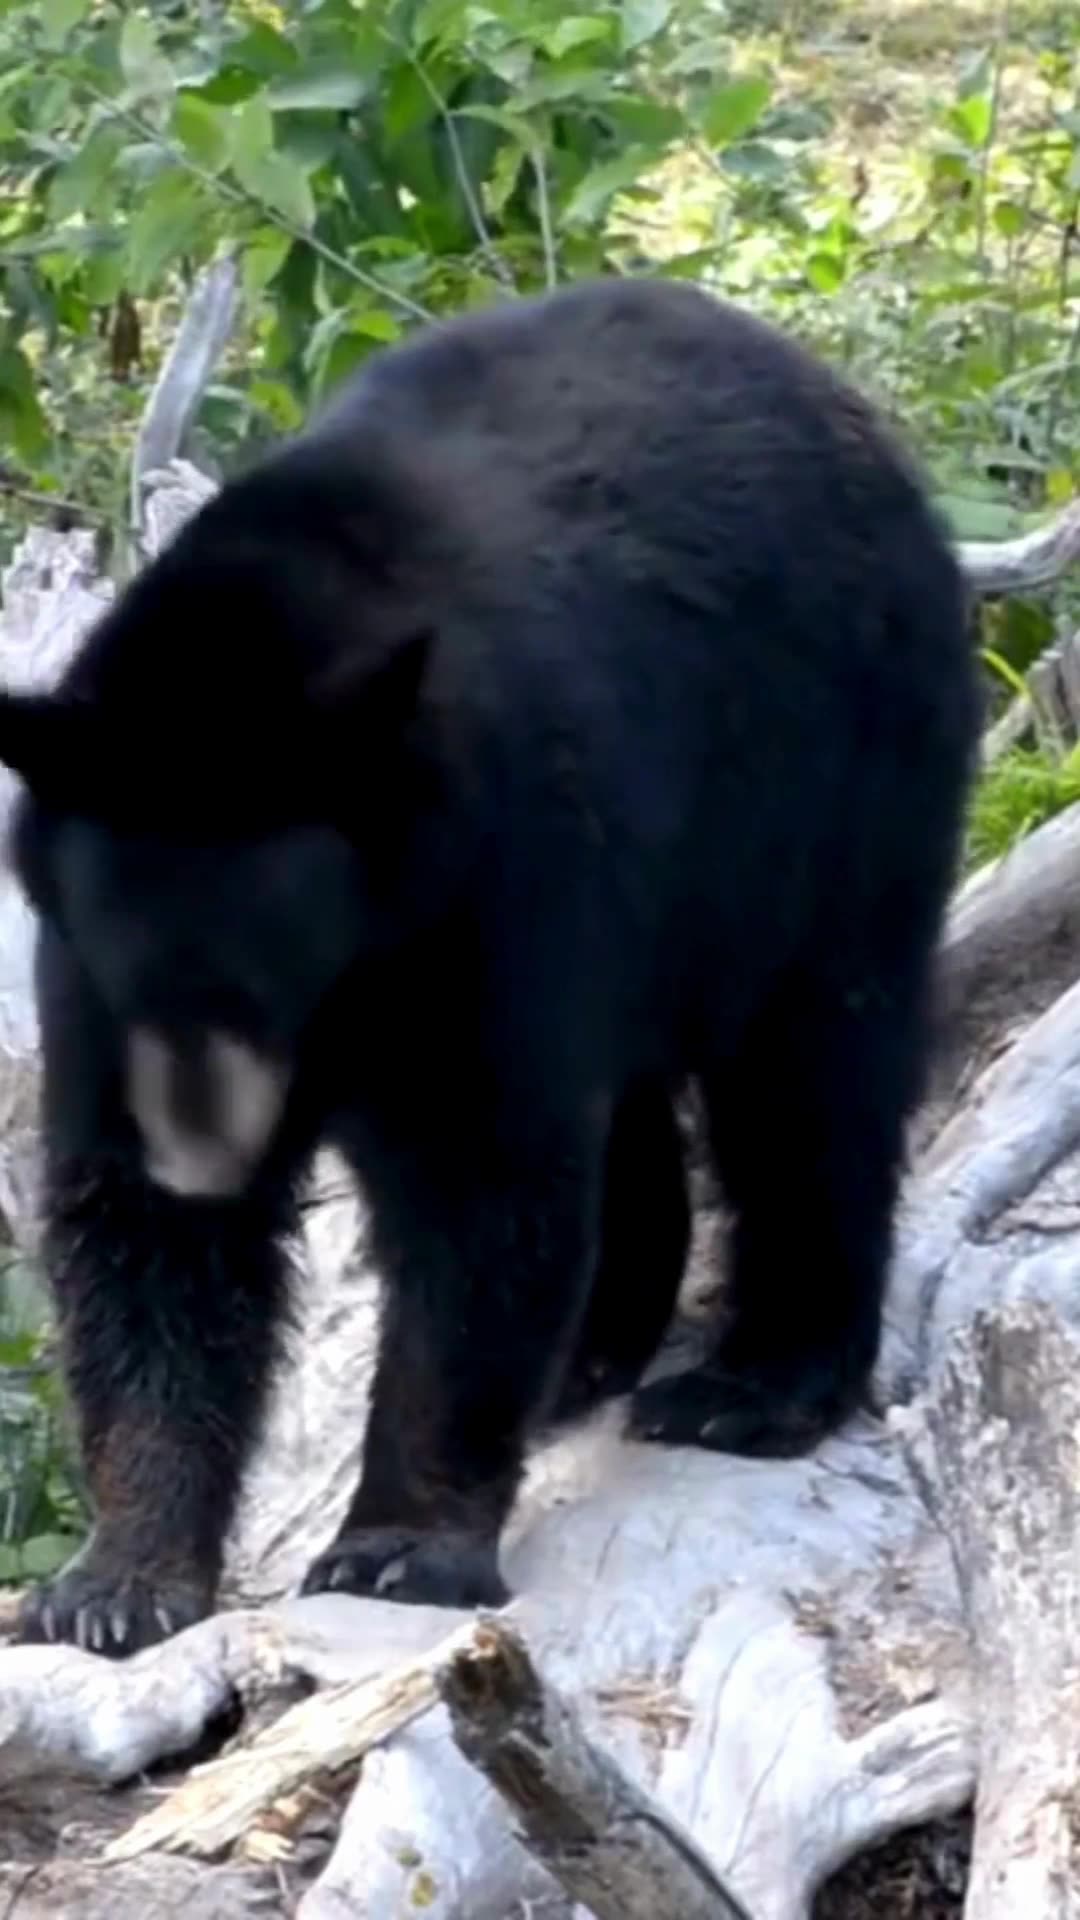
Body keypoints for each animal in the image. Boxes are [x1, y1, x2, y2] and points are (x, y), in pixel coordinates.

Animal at [0, 275, 980, 1656]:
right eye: (145, 988)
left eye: (263, 982)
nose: (203, 1157)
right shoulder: (80, 965)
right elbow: (133, 1234)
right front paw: (116, 1581)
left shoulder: (498, 872)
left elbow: (480, 1191)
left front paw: (399, 1543)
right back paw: (593, 1352)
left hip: (835, 779)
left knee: (811, 1075)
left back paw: (753, 1383)